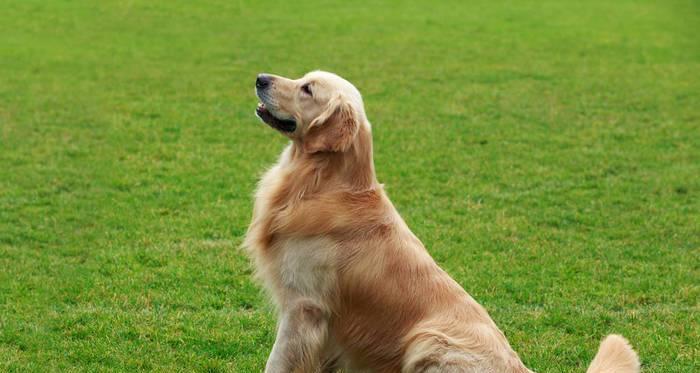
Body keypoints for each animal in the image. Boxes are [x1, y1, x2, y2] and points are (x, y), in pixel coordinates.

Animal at [242, 70, 640, 372]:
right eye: (301, 78)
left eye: (307, 88)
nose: (260, 77)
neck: (321, 183)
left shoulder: (304, 308)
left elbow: (276, 363)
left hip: (429, 338)